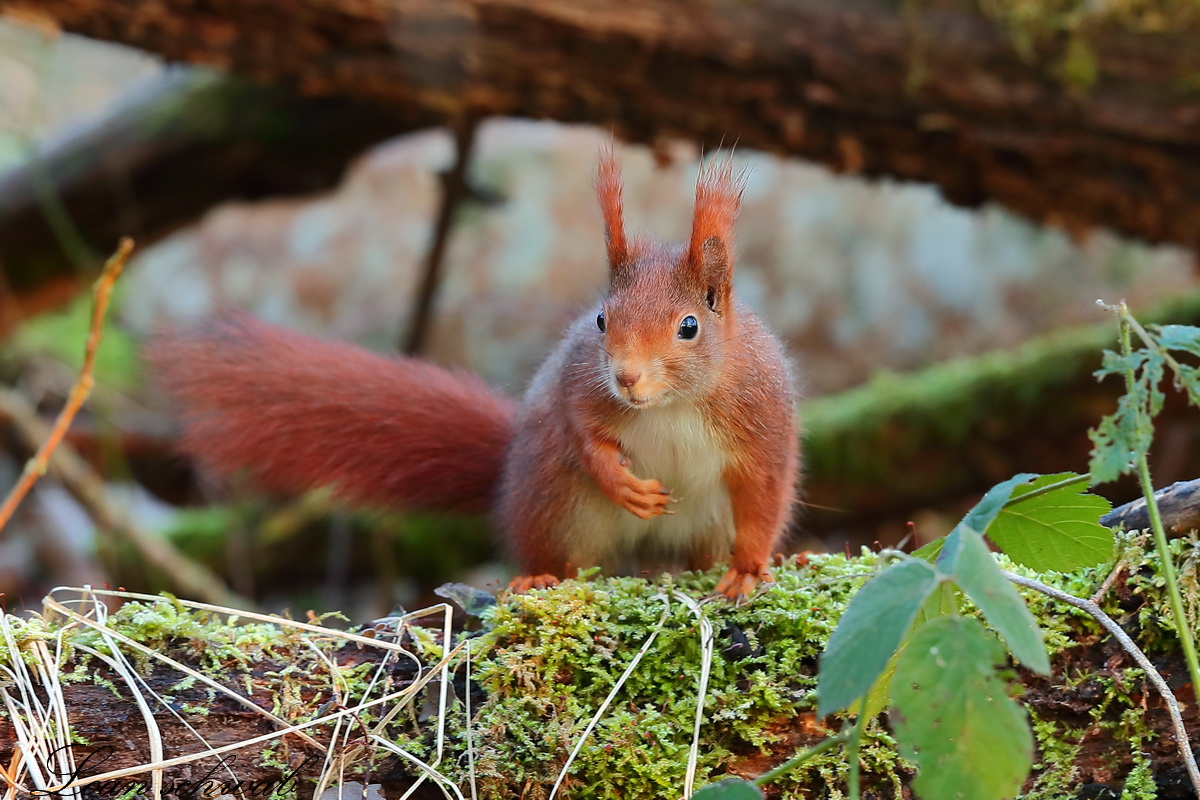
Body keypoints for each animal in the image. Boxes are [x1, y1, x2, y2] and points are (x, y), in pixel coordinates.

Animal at [154, 151, 801, 599]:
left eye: (689, 326)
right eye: (600, 319)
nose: (626, 379)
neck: (671, 404)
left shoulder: (759, 419)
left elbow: (764, 495)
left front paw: (750, 570)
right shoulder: (579, 385)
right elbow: (582, 431)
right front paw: (621, 482)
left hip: (703, 520)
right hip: (555, 504)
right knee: (562, 557)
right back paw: (538, 578)